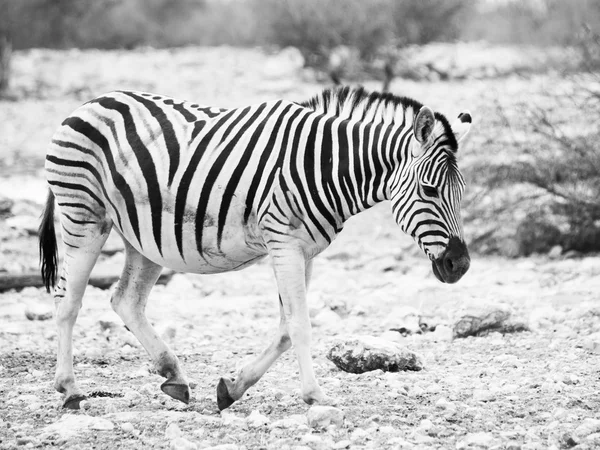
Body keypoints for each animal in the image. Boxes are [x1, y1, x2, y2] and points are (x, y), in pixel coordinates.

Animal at [39, 85, 474, 412]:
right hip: (84, 215)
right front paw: (315, 396)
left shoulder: (304, 250)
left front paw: (233, 388)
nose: (461, 265)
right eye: (429, 190)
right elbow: (299, 324)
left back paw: (174, 377)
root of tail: (91, 101)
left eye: (462, 192)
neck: (326, 168)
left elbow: (284, 328)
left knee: (125, 300)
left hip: (141, 237)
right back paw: (70, 389)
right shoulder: (283, 242)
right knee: (67, 301)